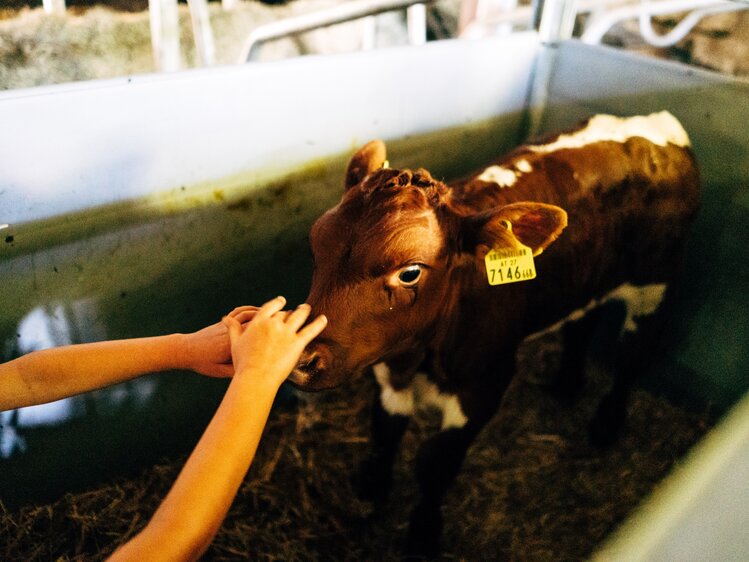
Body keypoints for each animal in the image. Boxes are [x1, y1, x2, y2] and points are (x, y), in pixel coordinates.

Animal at [290, 111, 700, 552]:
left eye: (410, 271)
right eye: (315, 245)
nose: (300, 358)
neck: (421, 357)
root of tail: (656, 121)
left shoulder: (485, 385)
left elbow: (434, 466)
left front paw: (423, 534)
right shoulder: (387, 367)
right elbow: (385, 431)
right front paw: (371, 485)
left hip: (657, 280)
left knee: (632, 357)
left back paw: (605, 425)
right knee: (581, 325)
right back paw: (567, 384)